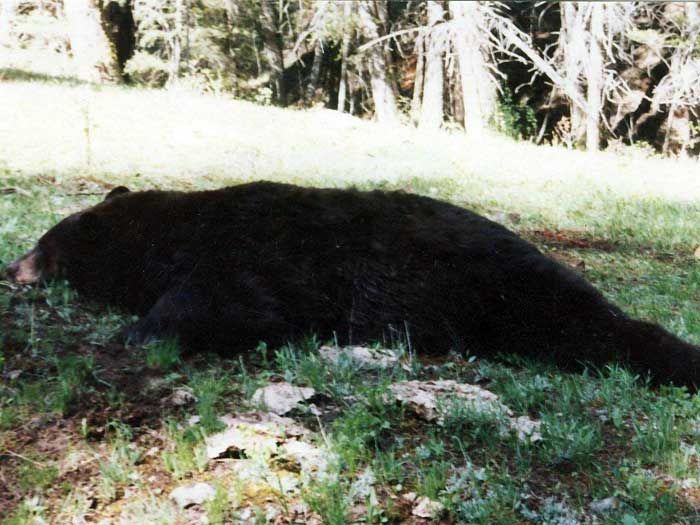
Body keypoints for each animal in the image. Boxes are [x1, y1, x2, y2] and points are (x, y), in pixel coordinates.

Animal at [6, 181, 700, 389]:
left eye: (42, 244)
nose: (11, 267)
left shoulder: (259, 252)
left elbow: (240, 304)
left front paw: (140, 331)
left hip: (504, 291)